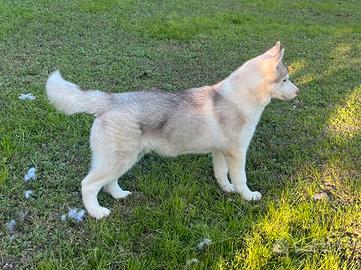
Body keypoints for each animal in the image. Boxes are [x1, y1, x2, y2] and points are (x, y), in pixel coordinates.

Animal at [45, 42, 298, 219]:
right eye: (285, 79)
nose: (298, 92)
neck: (242, 96)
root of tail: (109, 100)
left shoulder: (220, 152)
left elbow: (221, 174)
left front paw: (227, 189)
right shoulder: (237, 153)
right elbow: (241, 178)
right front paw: (248, 196)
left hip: (125, 158)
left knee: (109, 182)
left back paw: (119, 195)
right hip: (118, 159)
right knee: (88, 185)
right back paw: (96, 212)